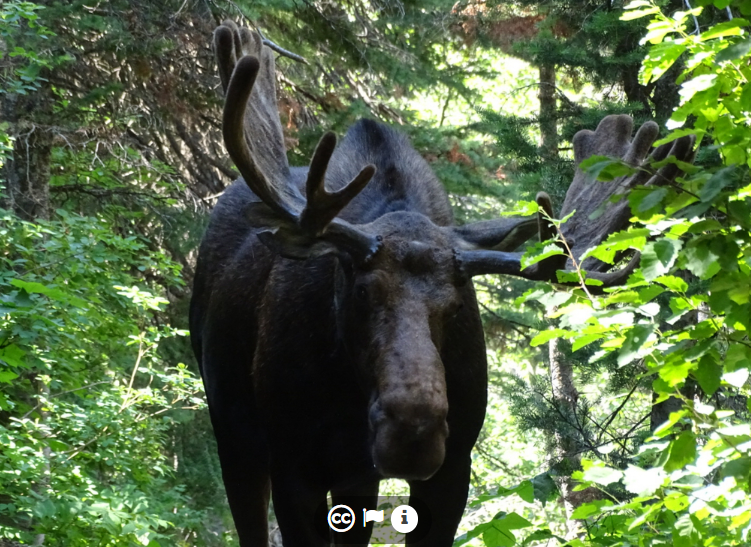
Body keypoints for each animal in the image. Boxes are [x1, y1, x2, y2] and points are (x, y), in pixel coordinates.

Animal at [189, 21, 696, 547]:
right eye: (362, 289)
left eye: (455, 306)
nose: (413, 433)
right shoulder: (295, 465)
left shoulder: (451, 469)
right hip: (235, 435)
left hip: (352, 476)